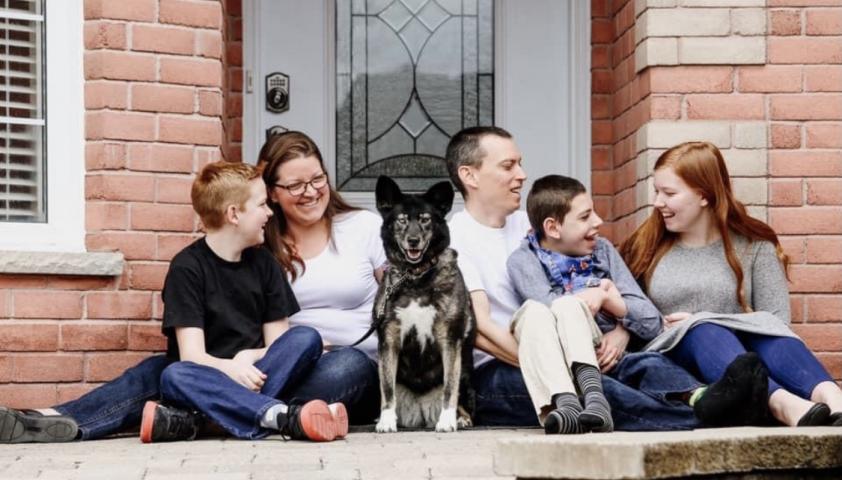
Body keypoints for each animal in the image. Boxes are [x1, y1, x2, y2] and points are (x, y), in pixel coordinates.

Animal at [372, 175, 472, 432]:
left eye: (426, 220)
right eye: (402, 220)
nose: (413, 240)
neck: (416, 277)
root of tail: (421, 409)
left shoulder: (449, 339)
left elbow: (450, 387)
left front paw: (447, 421)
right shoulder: (389, 339)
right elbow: (386, 388)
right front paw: (386, 420)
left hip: (466, 374)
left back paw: (461, 417)